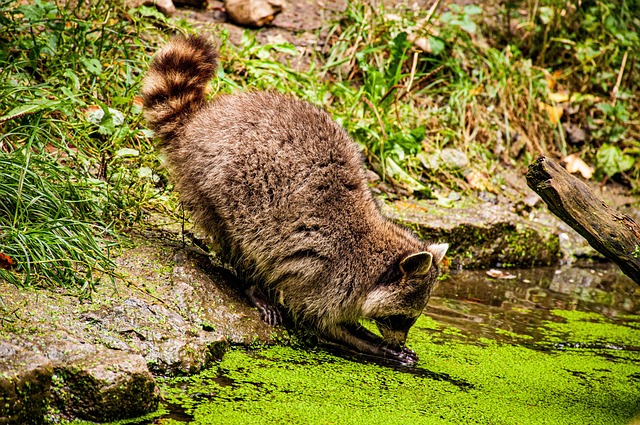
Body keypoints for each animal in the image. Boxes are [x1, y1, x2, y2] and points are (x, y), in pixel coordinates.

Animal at [142, 34, 448, 364]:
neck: (372, 254)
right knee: (242, 244)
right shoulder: (328, 276)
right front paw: (376, 345)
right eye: (402, 318)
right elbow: (318, 321)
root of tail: (202, 121)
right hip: (219, 188)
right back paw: (253, 286)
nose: (399, 340)